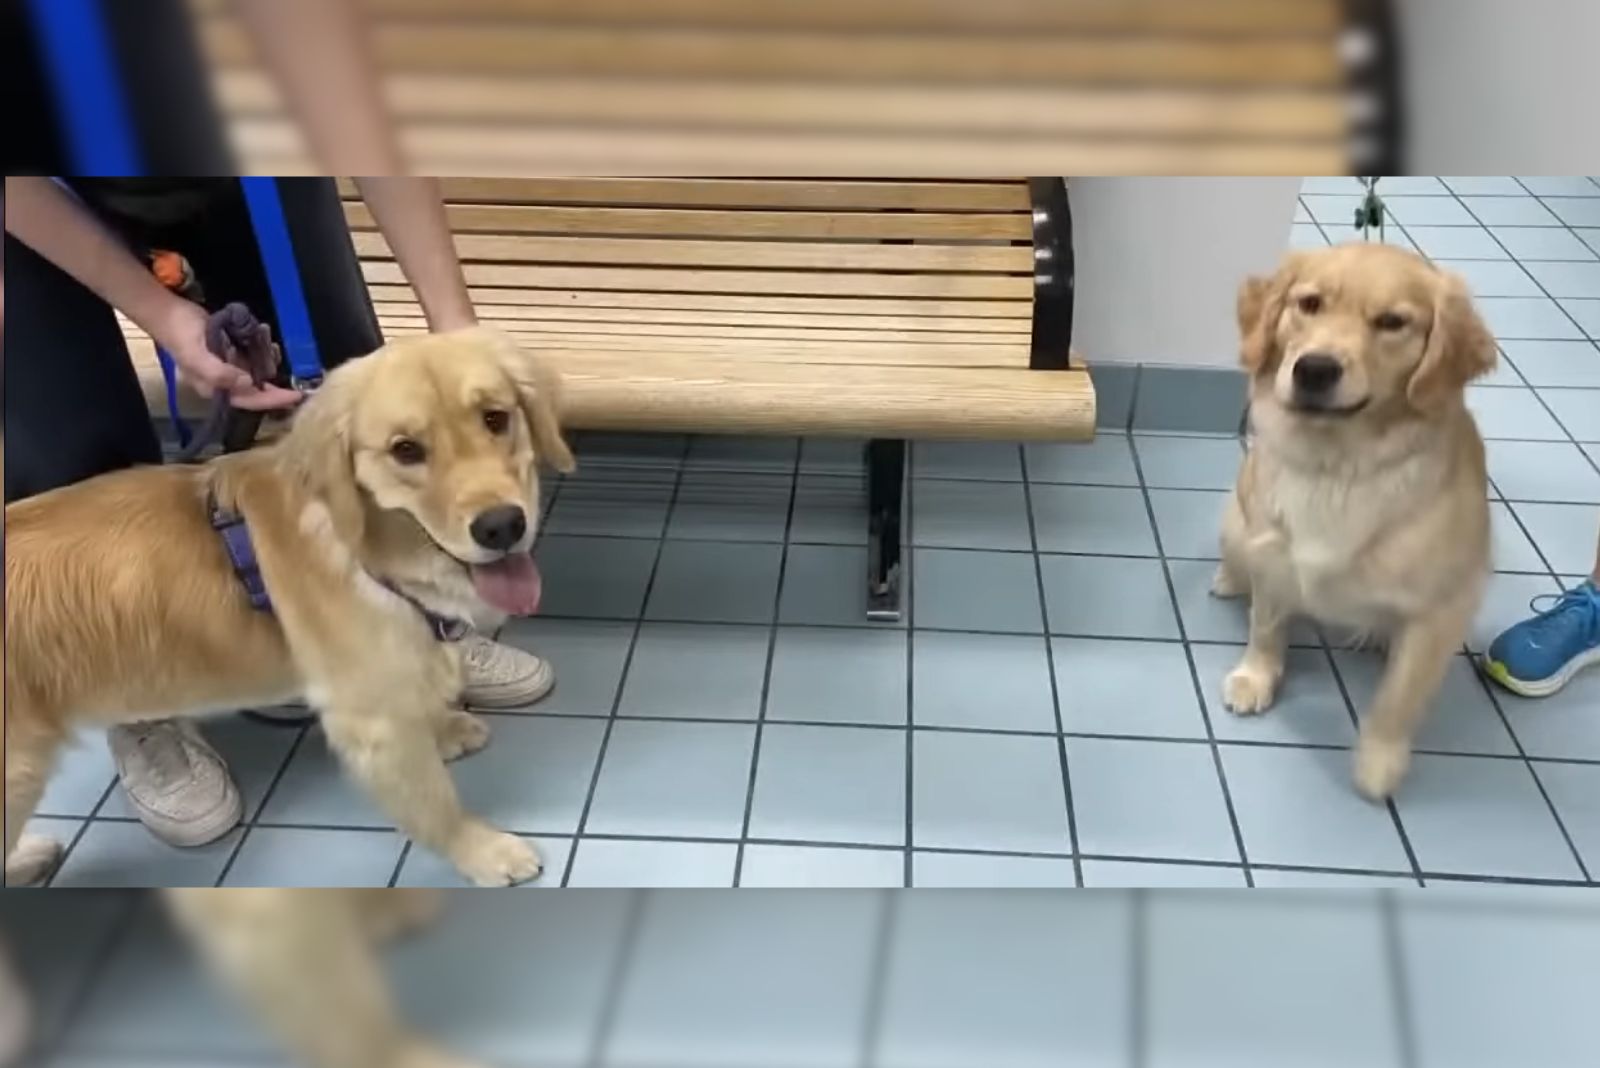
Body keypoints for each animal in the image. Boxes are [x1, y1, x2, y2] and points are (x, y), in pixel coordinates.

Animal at [3, 329, 579, 888]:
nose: (502, 526)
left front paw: (444, 729)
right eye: (405, 450)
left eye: (495, 418)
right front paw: (484, 851)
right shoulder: (370, 719)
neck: (365, 549)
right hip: (17, 771)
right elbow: (435, 803)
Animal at [1216, 239, 1491, 793]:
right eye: (1309, 303)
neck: (1337, 466)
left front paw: (1379, 759)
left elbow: (1399, 696)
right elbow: (1266, 627)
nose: (1315, 369)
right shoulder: (1272, 554)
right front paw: (1256, 676)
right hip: (1236, 521)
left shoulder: (1443, 609)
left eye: (1392, 322)